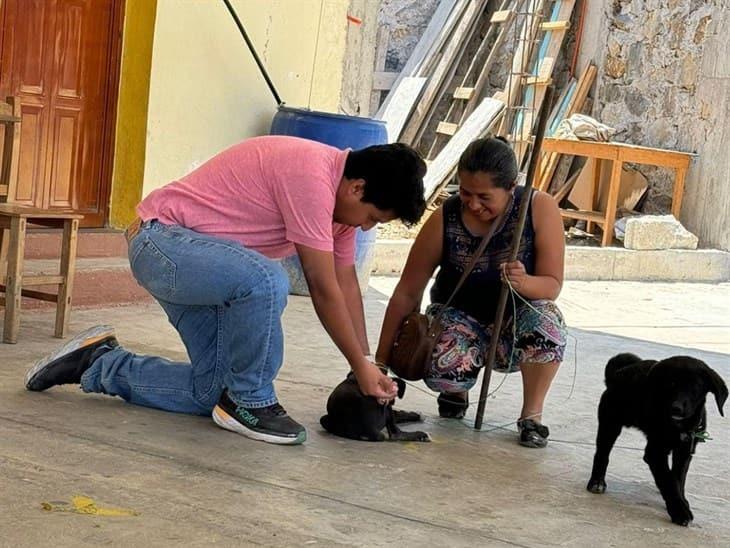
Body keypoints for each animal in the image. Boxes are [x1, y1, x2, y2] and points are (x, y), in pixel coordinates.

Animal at [588, 354, 724, 524]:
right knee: (602, 454)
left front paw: (682, 501)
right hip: (610, 424)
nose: (676, 408)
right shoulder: (655, 452)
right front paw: (679, 511)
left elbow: (678, 478)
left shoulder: (685, 450)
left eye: (695, 387)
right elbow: (667, 481)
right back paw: (596, 482)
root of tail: (617, 373)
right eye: (671, 383)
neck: (678, 426)